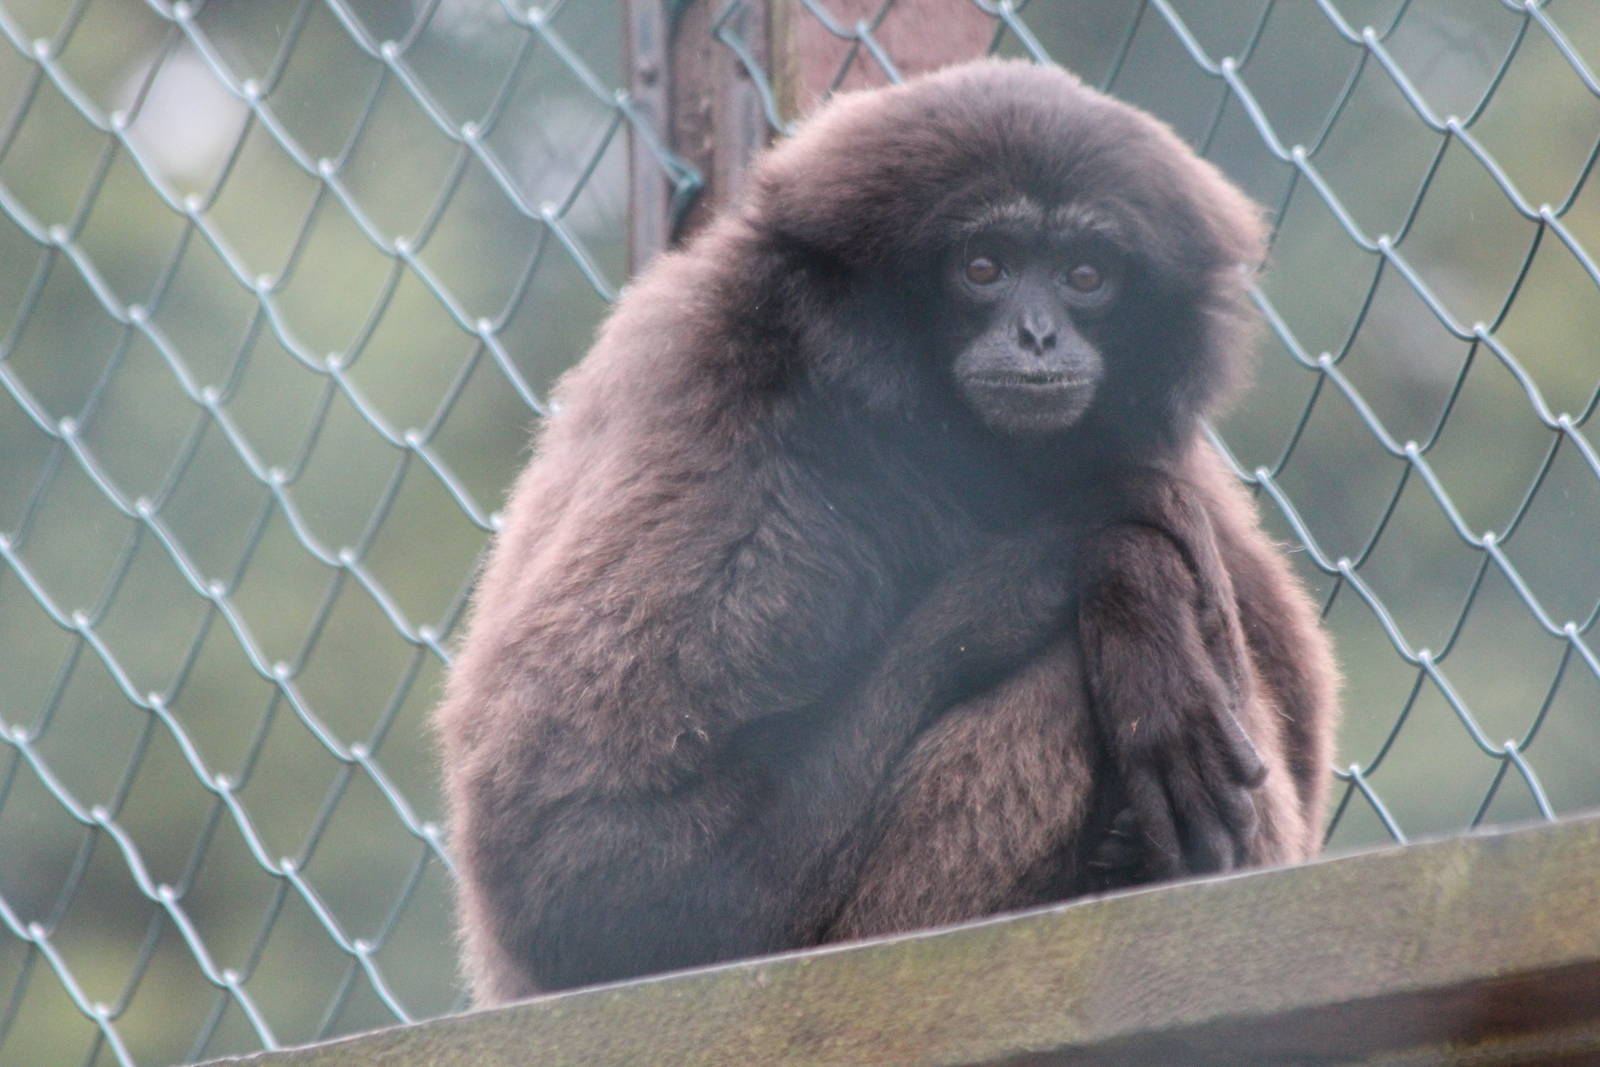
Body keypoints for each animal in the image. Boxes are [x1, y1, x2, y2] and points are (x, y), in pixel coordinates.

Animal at [434, 59, 1339, 1002]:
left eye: (1086, 275)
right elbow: (587, 874)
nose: (1038, 333)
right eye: (984, 266)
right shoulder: (731, 410)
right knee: (1068, 673)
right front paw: (1087, 551)